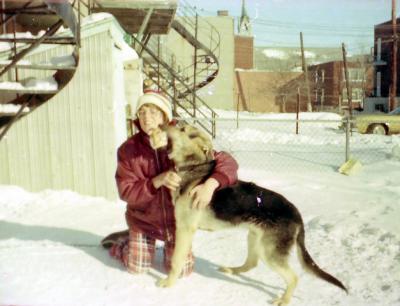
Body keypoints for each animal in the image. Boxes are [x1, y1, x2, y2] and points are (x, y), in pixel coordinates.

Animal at [153, 125, 346, 306]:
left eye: (183, 130)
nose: (165, 124)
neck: (193, 166)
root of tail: (296, 213)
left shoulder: (185, 229)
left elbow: (176, 260)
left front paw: (169, 283)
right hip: (254, 238)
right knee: (251, 263)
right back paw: (232, 270)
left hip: (269, 251)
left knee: (293, 277)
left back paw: (284, 300)